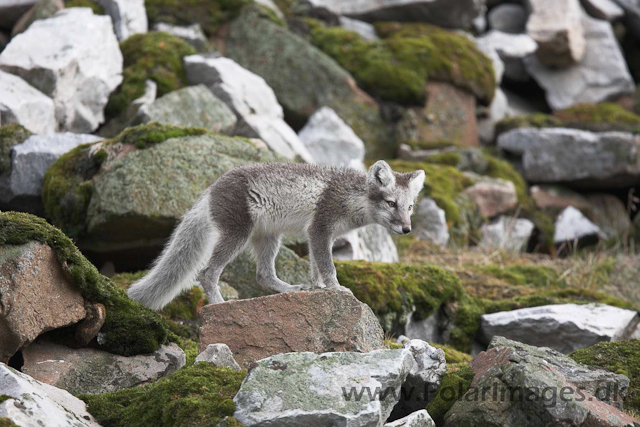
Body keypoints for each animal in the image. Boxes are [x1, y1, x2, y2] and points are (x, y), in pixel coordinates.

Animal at [127, 161, 422, 310]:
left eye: (409, 207)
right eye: (391, 204)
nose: (407, 229)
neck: (350, 196)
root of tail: (210, 190)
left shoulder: (316, 236)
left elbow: (315, 269)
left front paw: (318, 289)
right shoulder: (319, 229)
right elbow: (328, 268)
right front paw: (338, 289)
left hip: (269, 237)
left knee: (263, 275)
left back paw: (290, 289)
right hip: (238, 235)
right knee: (207, 273)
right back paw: (218, 304)